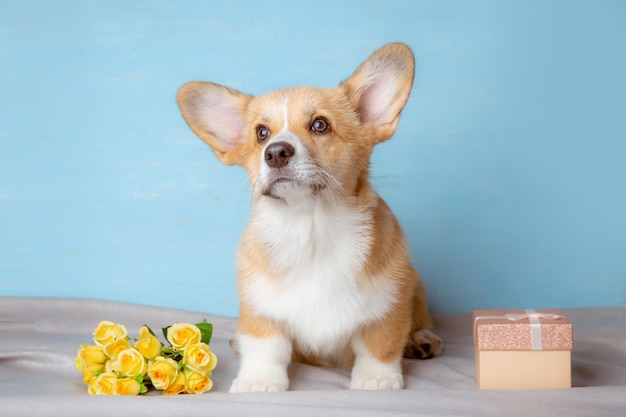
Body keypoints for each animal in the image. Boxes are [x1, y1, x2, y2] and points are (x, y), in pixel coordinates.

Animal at [176, 42, 438, 390]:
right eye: (261, 133)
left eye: (320, 125)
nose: (275, 153)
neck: (310, 226)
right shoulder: (260, 307)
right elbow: (265, 347)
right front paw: (259, 381)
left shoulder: (388, 301)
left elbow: (378, 344)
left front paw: (376, 379)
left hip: (416, 284)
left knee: (420, 319)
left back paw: (421, 339)